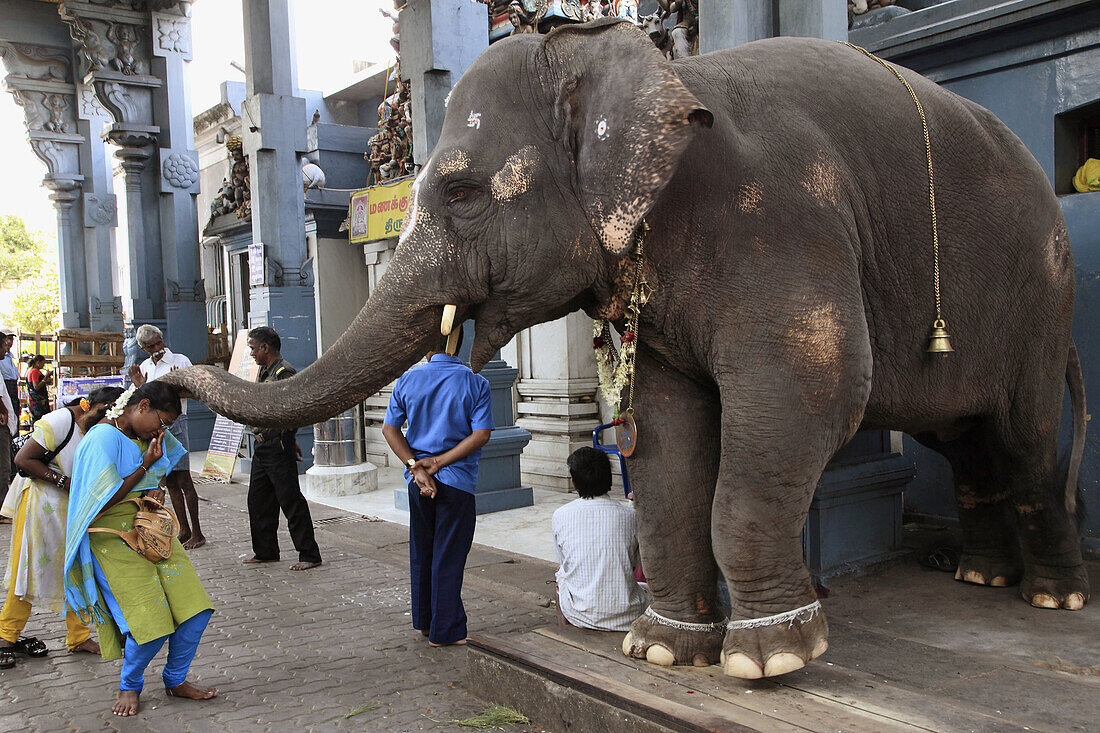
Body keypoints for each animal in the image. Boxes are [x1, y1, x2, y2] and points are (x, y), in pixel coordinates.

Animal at [165, 18, 1091, 677]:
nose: (168, 370)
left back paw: (1053, 598)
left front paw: (770, 659)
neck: (656, 71)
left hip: (1042, 297)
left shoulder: (782, 224)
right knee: (966, 443)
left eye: (461, 192)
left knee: (1025, 438)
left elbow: (813, 394)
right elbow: (668, 432)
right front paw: (661, 649)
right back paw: (983, 578)